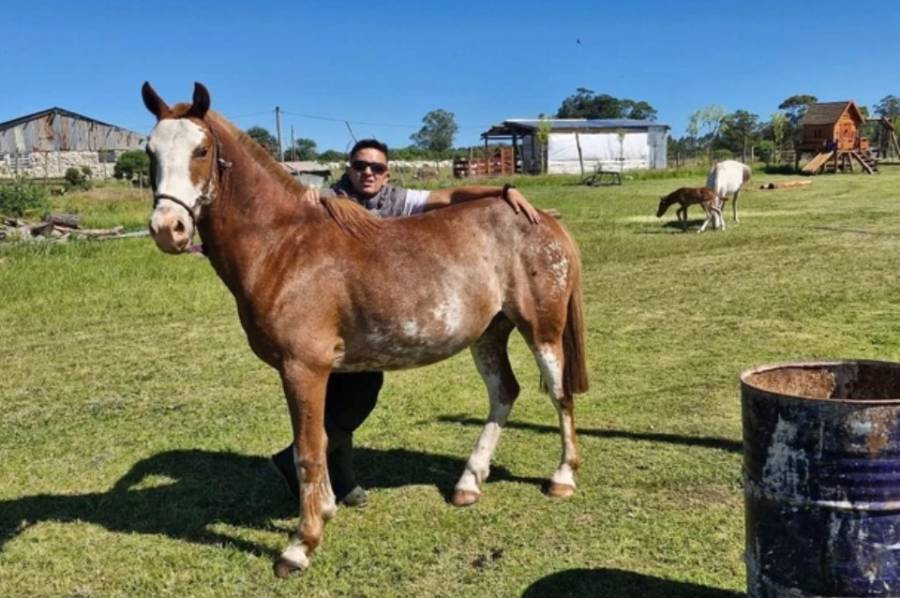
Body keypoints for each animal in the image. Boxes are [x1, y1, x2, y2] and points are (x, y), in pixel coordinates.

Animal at [141, 82, 589, 577]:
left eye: (201, 150)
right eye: (150, 151)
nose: (168, 229)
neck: (283, 247)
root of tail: (542, 219)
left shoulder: (303, 369)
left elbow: (307, 452)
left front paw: (300, 545)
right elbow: (324, 438)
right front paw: (327, 509)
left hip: (542, 330)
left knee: (559, 394)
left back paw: (562, 479)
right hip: (490, 333)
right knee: (504, 393)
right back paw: (468, 483)